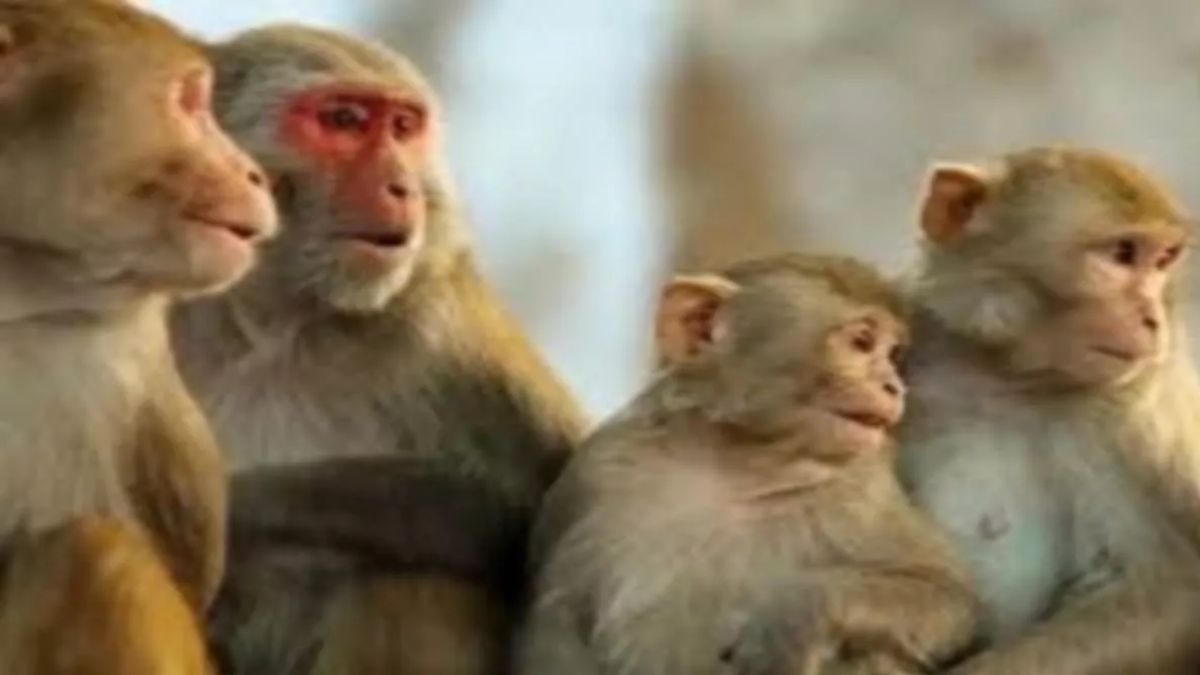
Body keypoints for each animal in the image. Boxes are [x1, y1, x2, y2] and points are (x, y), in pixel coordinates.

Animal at [167, 24, 589, 675]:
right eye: (343, 120)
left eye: (403, 127)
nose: (402, 187)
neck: (270, 325)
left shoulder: (440, 327)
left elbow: (544, 511)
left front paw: (237, 509)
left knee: (411, 579)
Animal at [515, 254, 979, 675]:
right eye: (862, 343)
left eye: (893, 354)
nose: (894, 386)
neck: (734, 464)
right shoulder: (595, 475)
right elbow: (557, 618)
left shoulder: (863, 494)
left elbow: (945, 594)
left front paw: (793, 621)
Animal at [897, 146, 1200, 674]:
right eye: (1123, 254)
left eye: (1163, 260)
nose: (1153, 318)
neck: (1008, 378)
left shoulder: (1134, 417)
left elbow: (1172, 593)